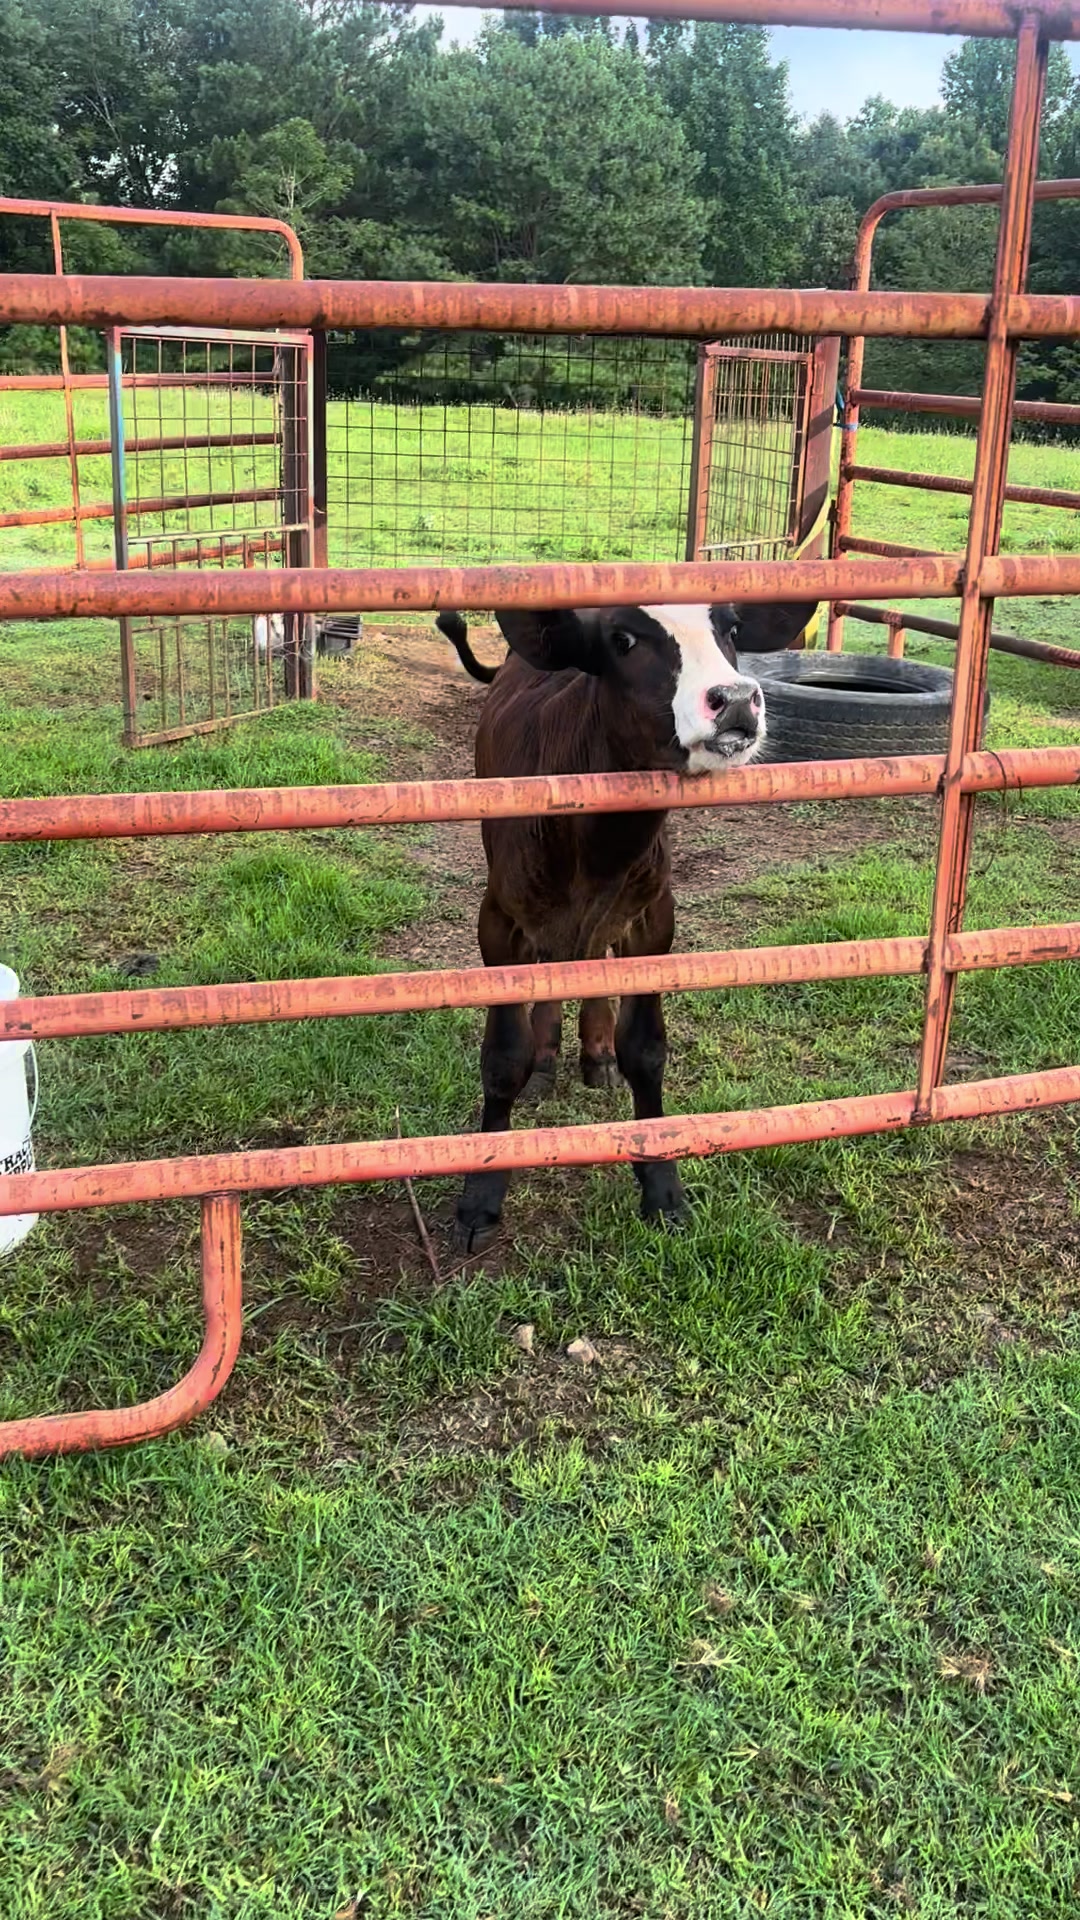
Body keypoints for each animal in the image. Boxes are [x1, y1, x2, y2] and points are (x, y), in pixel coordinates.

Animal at [438, 597, 818, 1250]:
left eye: (731, 629)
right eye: (622, 640)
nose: (736, 698)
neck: (600, 847)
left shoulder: (653, 918)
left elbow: (644, 1049)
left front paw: (661, 1187)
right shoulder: (499, 921)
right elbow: (504, 1058)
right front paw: (481, 1196)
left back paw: (594, 1055)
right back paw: (548, 1061)